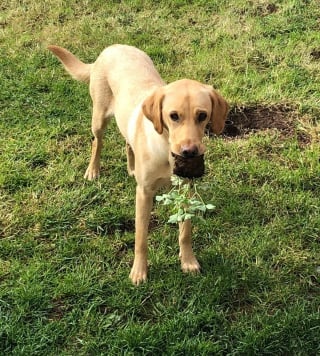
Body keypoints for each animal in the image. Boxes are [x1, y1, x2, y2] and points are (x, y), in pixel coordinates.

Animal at [48, 43, 228, 284]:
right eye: (173, 116)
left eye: (202, 115)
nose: (189, 152)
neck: (166, 150)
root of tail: (113, 47)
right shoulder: (143, 193)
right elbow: (141, 238)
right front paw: (139, 272)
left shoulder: (185, 189)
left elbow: (185, 230)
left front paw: (188, 261)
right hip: (99, 118)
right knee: (97, 142)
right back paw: (93, 170)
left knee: (127, 141)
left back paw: (131, 167)